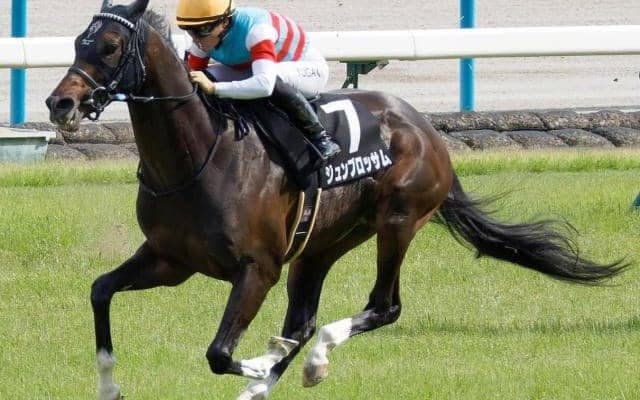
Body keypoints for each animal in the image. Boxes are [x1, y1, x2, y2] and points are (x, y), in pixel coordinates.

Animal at [45, 1, 628, 399]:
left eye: (111, 47)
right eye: (76, 43)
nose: (59, 103)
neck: (198, 156)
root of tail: (427, 129)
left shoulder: (257, 268)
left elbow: (218, 352)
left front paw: (259, 364)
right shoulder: (171, 259)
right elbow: (100, 291)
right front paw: (109, 386)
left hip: (398, 221)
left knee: (381, 307)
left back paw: (306, 361)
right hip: (321, 243)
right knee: (302, 321)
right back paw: (275, 373)